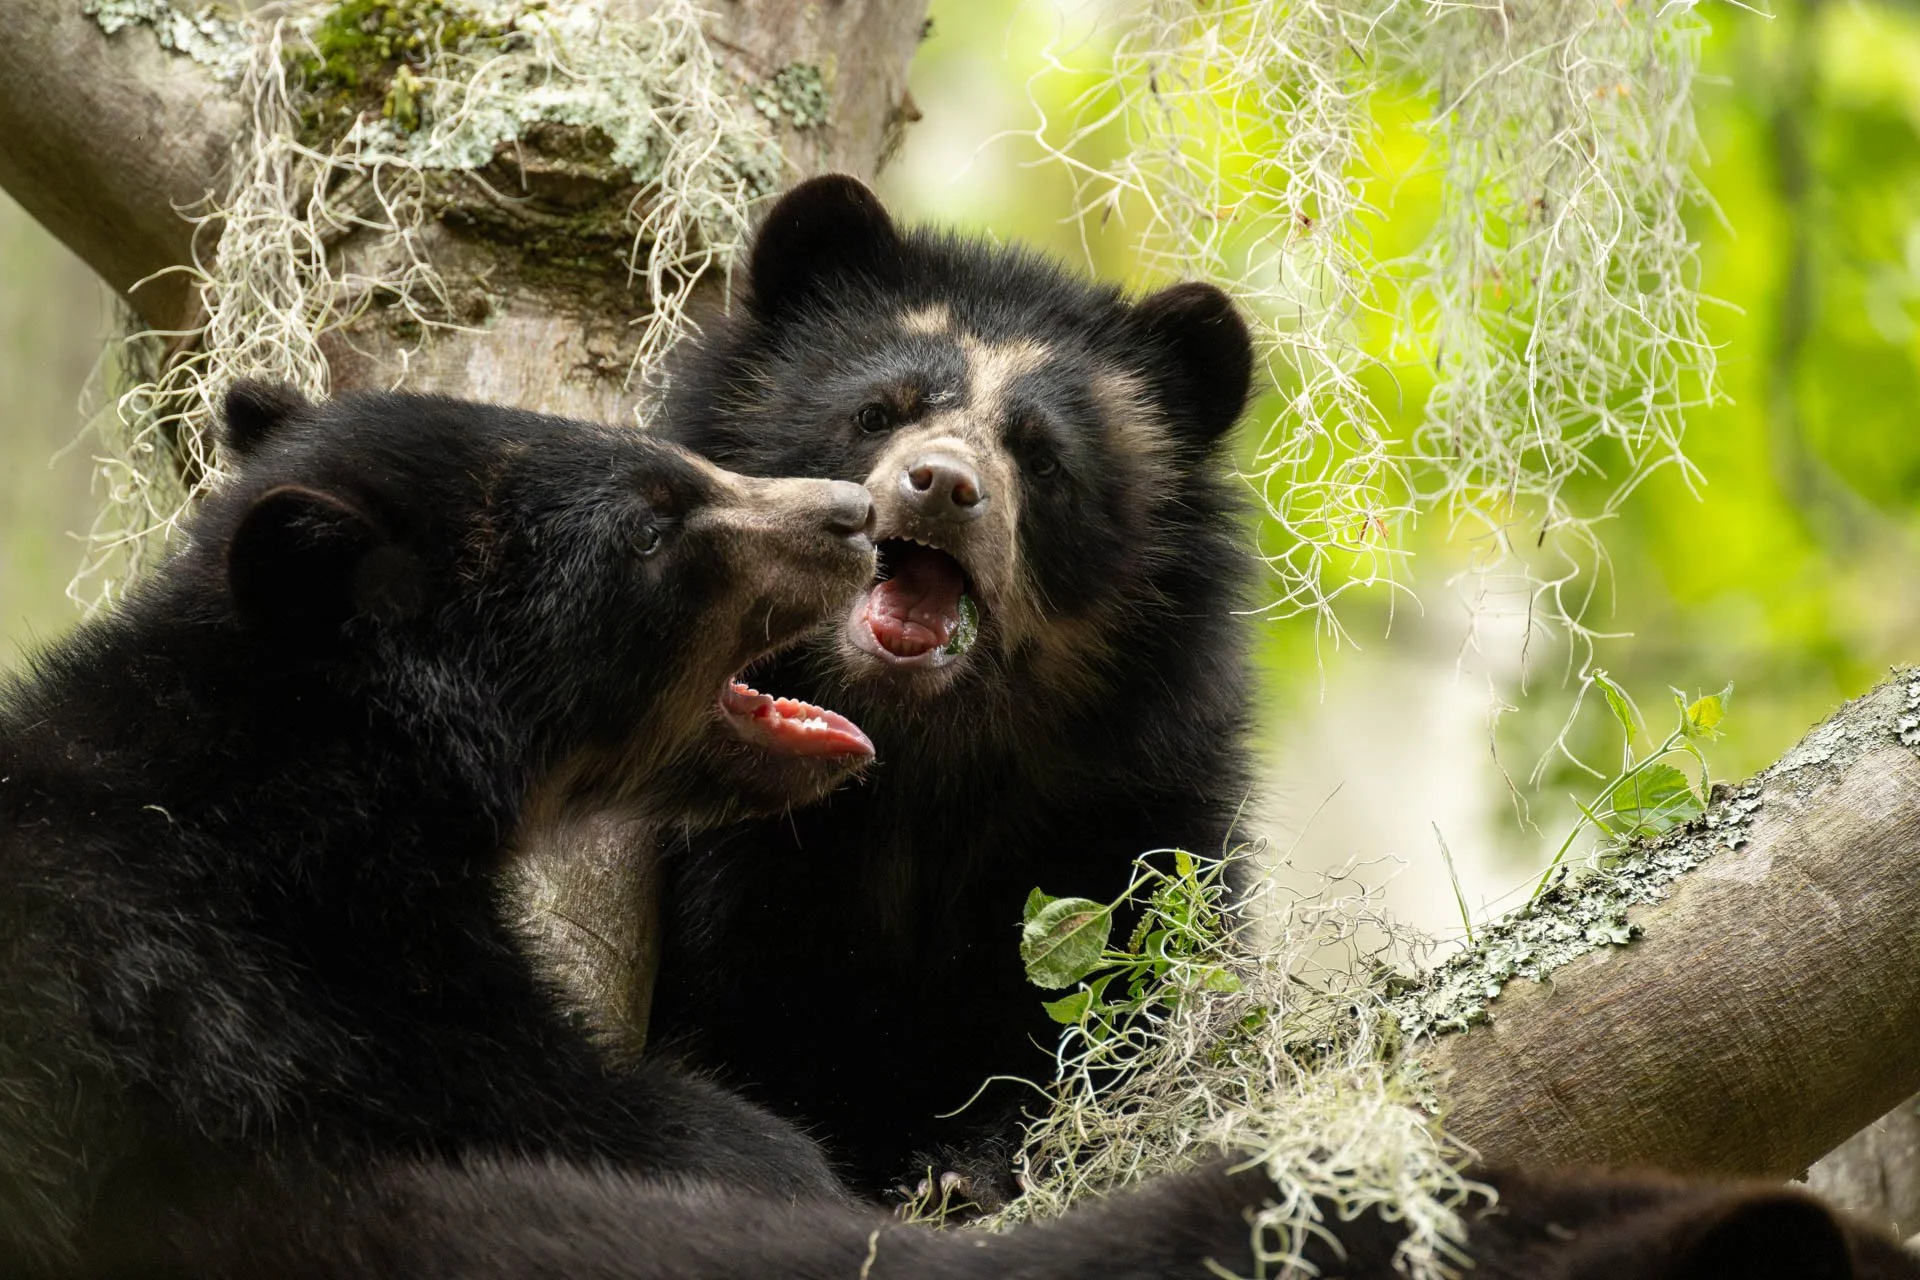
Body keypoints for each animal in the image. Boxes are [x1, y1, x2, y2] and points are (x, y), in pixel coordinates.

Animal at [647, 174, 1259, 1203]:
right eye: (876, 414)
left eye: (1043, 460)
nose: (941, 485)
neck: (913, 755)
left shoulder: (1136, 792)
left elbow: (1123, 987)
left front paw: (971, 1166)